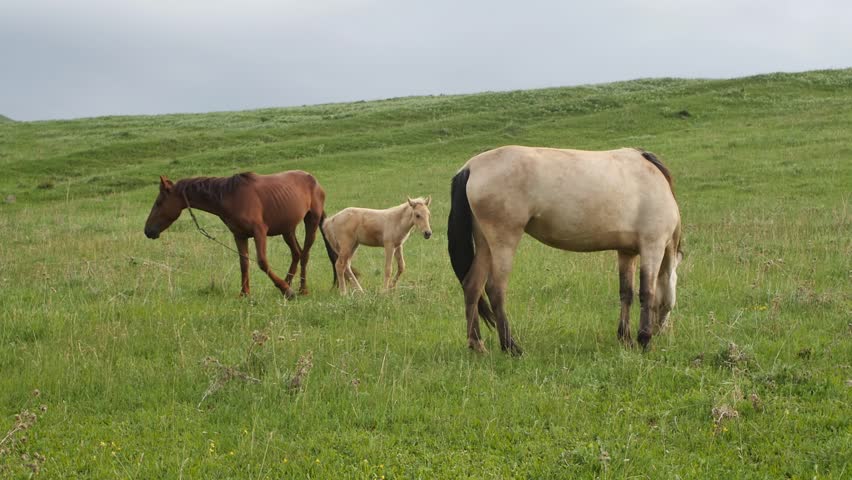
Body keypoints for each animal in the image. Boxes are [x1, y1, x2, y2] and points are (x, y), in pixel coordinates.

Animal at [144, 170, 332, 299]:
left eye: (159, 202)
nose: (148, 230)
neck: (231, 196)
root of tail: (314, 180)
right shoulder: (239, 235)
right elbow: (244, 263)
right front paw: (244, 293)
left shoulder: (259, 232)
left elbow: (262, 262)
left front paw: (287, 291)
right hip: (287, 229)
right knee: (296, 253)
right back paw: (287, 283)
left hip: (311, 221)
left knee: (305, 254)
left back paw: (301, 289)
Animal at [448, 146, 683, 354]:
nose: (662, 330)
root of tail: (470, 167)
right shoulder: (652, 246)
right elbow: (647, 292)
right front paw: (644, 339)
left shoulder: (626, 252)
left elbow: (626, 293)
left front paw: (625, 339)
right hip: (503, 242)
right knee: (495, 289)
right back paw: (511, 347)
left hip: (485, 245)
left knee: (472, 286)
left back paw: (477, 345)